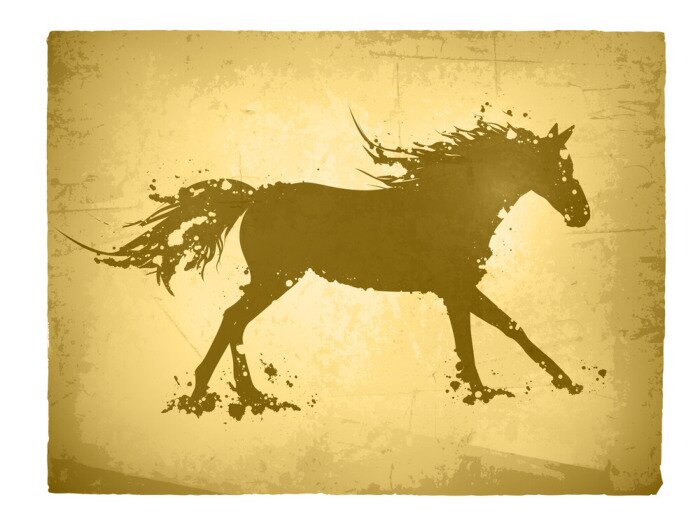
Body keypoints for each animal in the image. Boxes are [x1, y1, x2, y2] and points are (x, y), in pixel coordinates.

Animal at [64, 113, 590, 409]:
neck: (453, 205)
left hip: (273, 279)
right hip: (277, 277)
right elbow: (493, 334)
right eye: (557, 167)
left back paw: (226, 394)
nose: (582, 214)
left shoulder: (456, 290)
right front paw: (519, 387)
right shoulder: (456, 287)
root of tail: (255, 198)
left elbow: (492, 333)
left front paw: (528, 385)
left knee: (233, 319)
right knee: (234, 318)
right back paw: (228, 395)